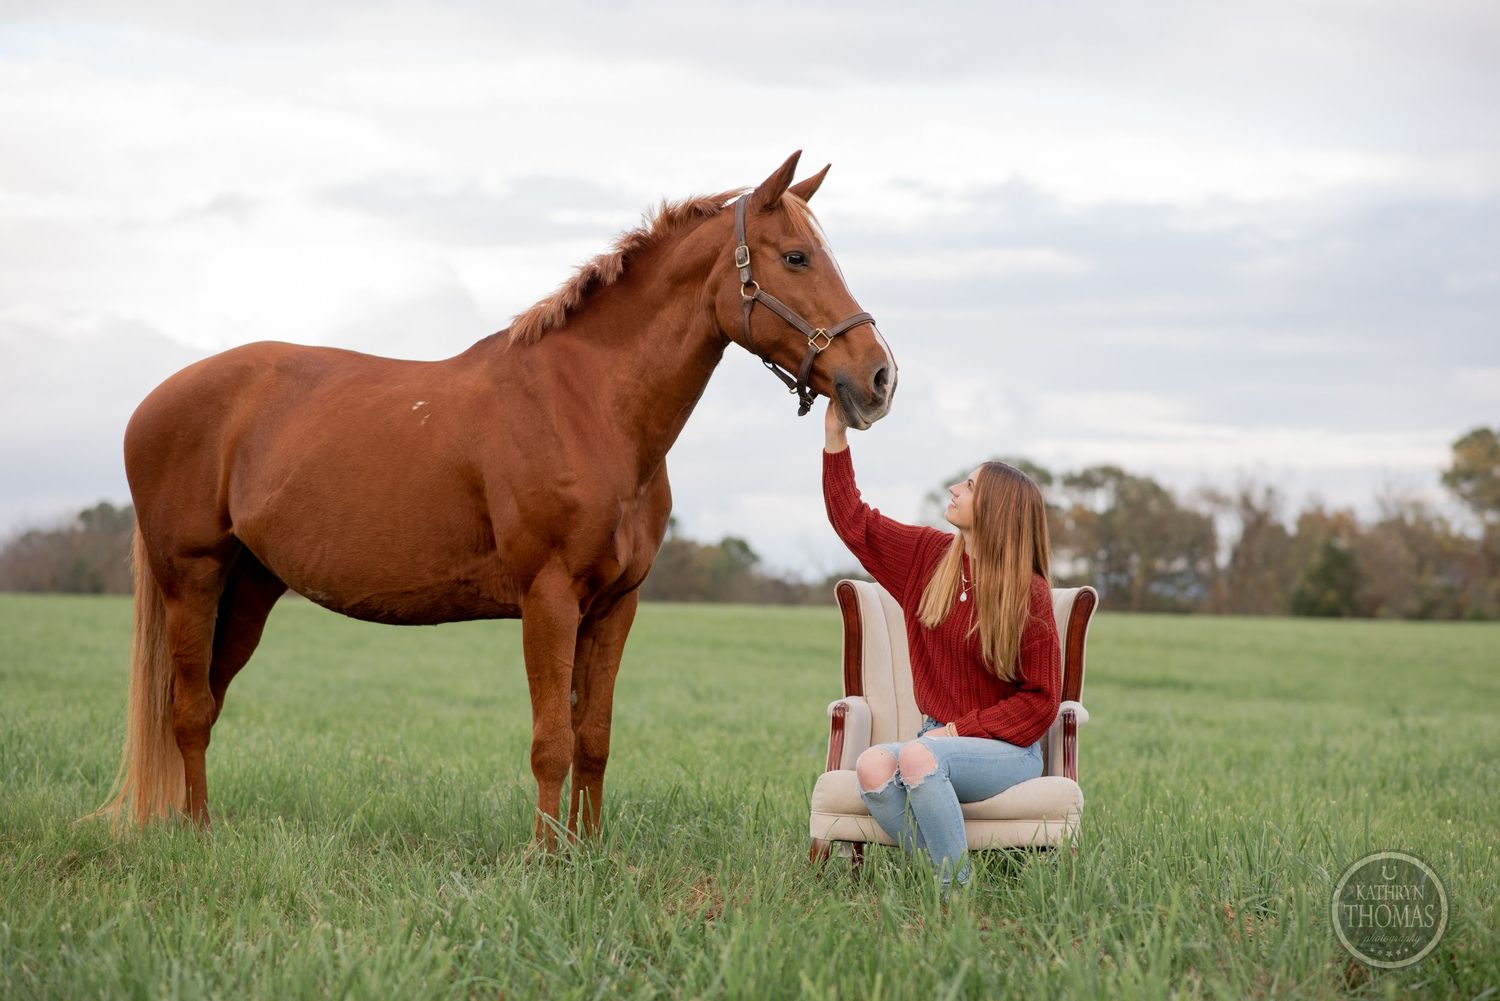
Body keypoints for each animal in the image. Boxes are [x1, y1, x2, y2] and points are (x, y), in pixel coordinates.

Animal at [91, 151, 897, 842]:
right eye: (795, 257)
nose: (878, 377)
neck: (586, 405)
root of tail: (155, 401)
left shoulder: (616, 605)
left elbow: (593, 737)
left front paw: (587, 852)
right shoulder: (548, 599)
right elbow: (551, 740)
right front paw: (545, 859)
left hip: (251, 587)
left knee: (207, 701)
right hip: (192, 576)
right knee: (189, 710)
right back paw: (197, 833)